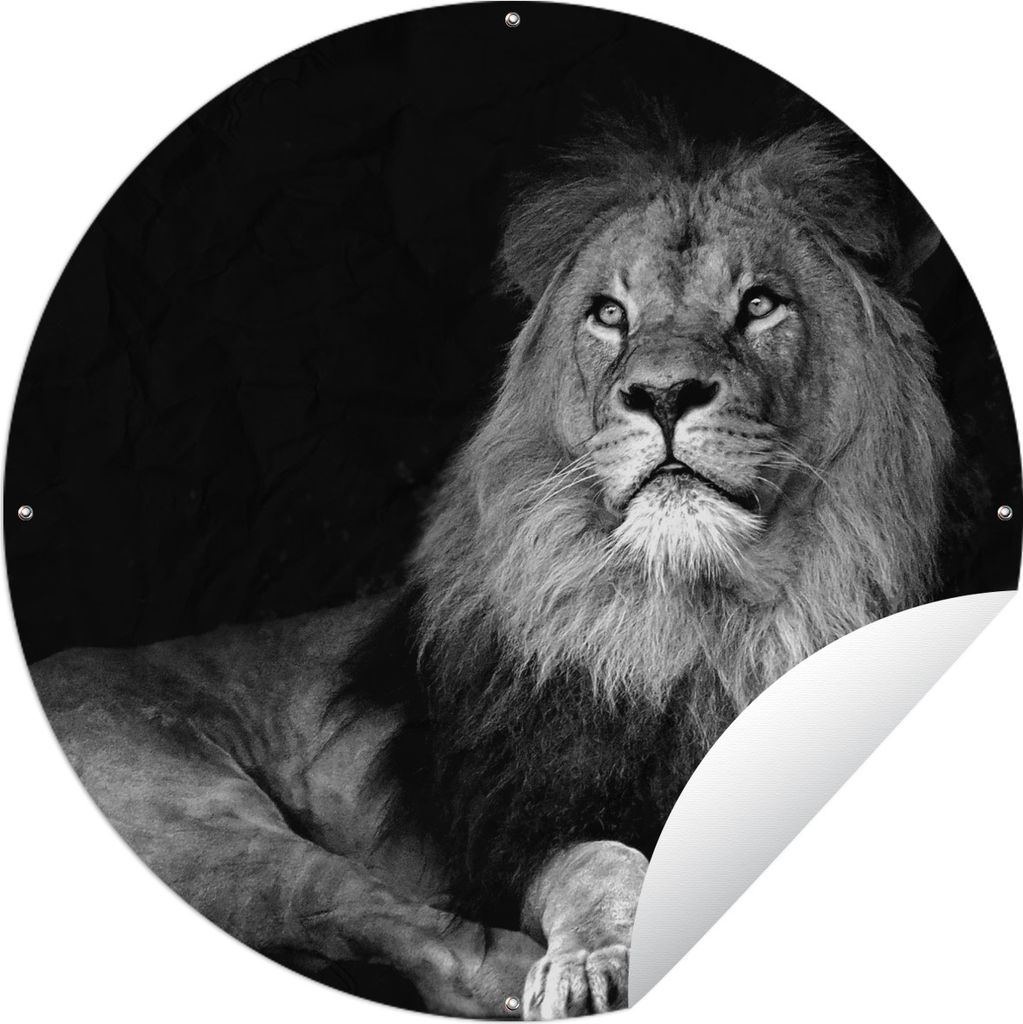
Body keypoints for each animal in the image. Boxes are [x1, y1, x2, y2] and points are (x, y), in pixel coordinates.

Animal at [29, 109, 952, 1019]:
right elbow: (600, 863)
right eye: (609, 315)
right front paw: (590, 962)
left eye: (760, 304)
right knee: (423, 940)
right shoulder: (523, 819)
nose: (661, 394)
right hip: (196, 821)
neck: (692, 621)